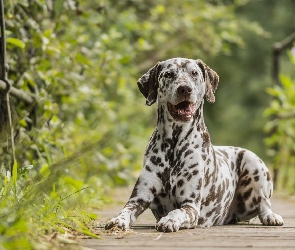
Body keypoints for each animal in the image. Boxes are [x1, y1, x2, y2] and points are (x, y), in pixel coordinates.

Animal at [106, 57, 284, 231]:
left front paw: (169, 220)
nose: (185, 89)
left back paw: (271, 217)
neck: (174, 144)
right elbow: (126, 210)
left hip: (254, 163)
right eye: (168, 74)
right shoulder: (138, 198)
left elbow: (177, 212)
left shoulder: (190, 206)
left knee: (264, 204)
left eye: (194, 73)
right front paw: (117, 220)